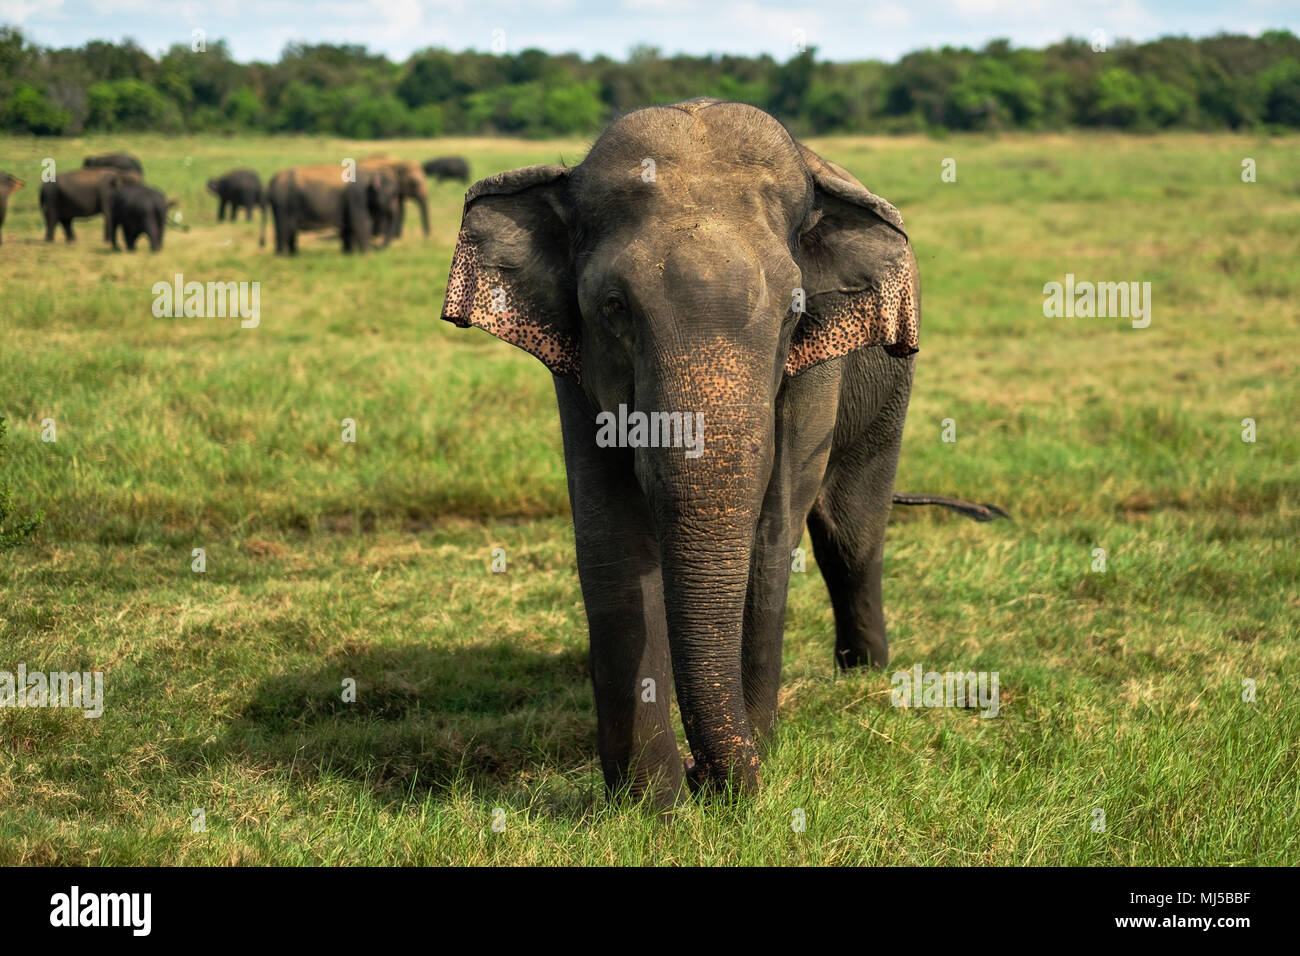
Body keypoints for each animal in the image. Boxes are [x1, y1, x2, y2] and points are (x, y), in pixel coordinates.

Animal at [441, 100, 998, 811]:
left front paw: (743, 772)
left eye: (792, 313)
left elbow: (772, 533)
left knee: (850, 534)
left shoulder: (815, 364)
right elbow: (610, 538)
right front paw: (653, 808)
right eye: (613, 307)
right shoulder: (574, 361)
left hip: (891, 386)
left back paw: (864, 679)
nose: (703, 775)